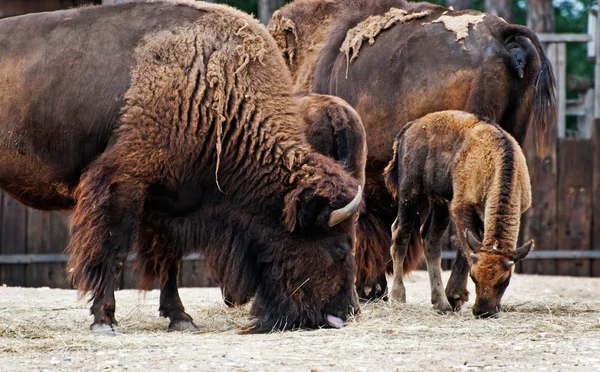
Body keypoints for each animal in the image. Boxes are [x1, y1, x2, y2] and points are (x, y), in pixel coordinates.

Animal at [382, 110, 532, 316]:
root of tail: (410, 128)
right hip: (411, 194)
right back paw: (399, 295)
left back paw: (441, 303)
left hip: (438, 203)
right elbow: (467, 249)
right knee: (400, 234)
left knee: (430, 239)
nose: (483, 311)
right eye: (474, 277)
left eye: (505, 280)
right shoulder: (461, 209)